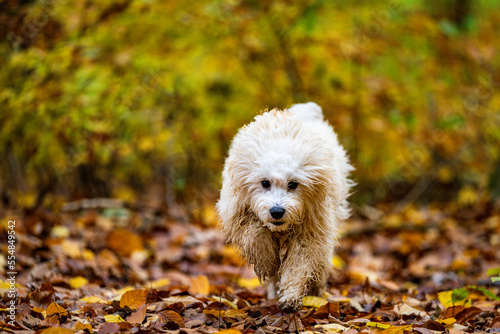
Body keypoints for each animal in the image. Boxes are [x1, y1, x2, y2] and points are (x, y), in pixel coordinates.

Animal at [217, 102, 354, 314]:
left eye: (293, 184)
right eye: (265, 182)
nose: (277, 212)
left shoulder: (311, 230)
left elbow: (299, 262)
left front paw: (291, 296)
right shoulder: (238, 212)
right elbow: (255, 234)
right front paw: (268, 262)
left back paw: (315, 290)